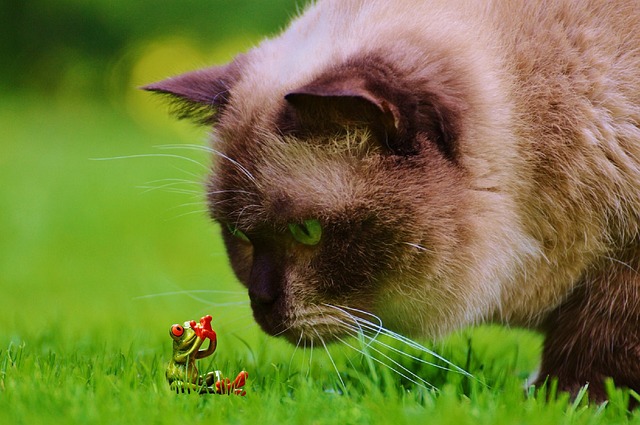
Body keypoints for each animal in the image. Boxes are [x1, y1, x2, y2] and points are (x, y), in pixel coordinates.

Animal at [144, 0, 640, 400]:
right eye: (239, 234)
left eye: (308, 232)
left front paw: (555, 403)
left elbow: (588, 364)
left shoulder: (622, 267)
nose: (260, 301)